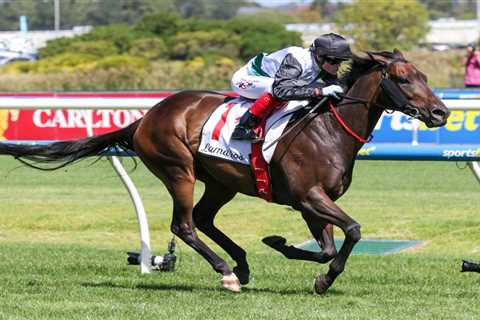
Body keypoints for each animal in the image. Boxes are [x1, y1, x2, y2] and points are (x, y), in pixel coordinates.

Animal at [0, 50, 450, 296]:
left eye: (425, 76)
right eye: (402, 78)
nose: (441, 112)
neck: (329, 128)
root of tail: (146, 117)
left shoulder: (311, 202)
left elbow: (326, 247)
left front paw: (284, 248)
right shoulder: (309, 196)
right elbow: (353, 231)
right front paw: (318, 276)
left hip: (220, 181)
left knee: (203, 219)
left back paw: (242, 264)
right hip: (178, 169)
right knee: (184, 225)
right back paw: (227, 273)